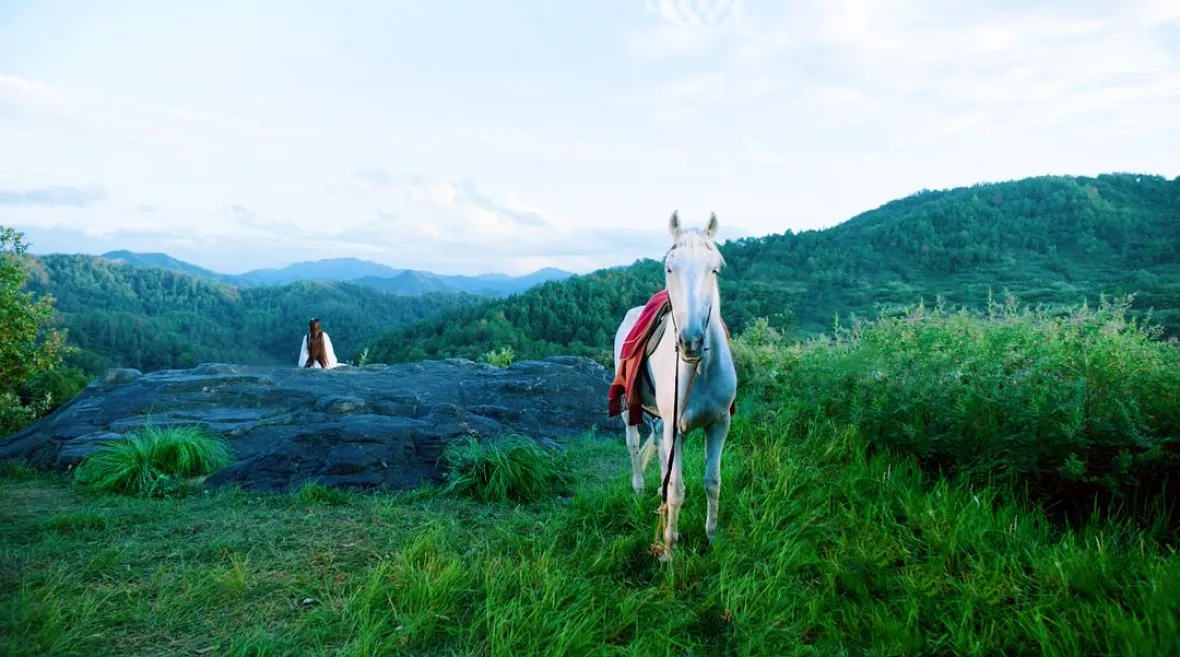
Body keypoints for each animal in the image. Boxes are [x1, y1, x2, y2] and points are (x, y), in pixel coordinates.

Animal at [612, 211, 737, 560]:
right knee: (632, 443)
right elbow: (677, 489)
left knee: (656, 443)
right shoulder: (676, 429)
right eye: (670, 268)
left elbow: (713, 481)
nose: (691, 341)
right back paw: (640, 488)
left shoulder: (719, 424)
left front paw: (712, 537)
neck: (701, 370)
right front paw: (669, 547)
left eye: (714, 268)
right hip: (630, 409)